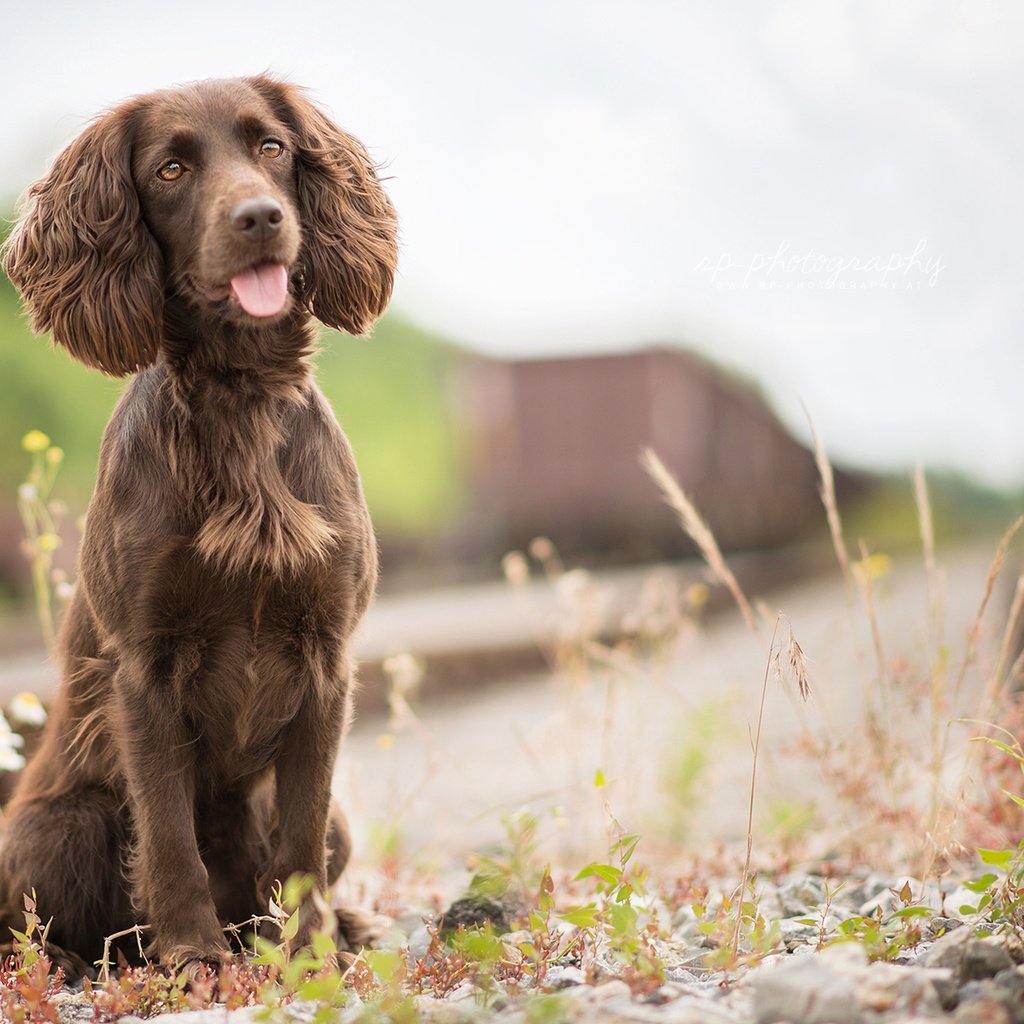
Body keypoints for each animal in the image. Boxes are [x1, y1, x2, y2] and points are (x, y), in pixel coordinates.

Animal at [0, 75, 395, 970]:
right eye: (172, 169)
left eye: (272, 147)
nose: (259, 218)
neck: (238, 395)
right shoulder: (144, 669)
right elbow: (169, 834)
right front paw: (192, 957)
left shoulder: (325, 659)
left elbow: (299, 836)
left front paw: (310, 952)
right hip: (60, 825)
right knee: (40, 922)